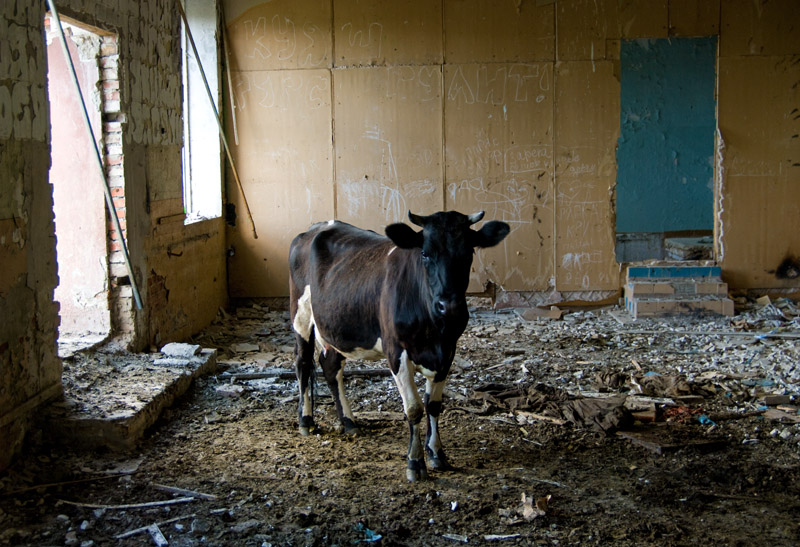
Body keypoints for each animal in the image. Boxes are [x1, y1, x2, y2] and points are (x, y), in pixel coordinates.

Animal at [290, 212, 510, 482]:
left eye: (469, 251)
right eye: (424, 253)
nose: (449, 306)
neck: (433, 331)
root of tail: (317, 226)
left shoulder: (447, 351)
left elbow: (433, 405)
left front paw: (437, 453)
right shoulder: (396, 352)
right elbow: (414, 408)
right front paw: (415, 462)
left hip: (334, 326)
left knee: (330, 367)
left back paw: (349, 422)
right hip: (300, 313)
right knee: (303, 362)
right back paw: (306, 421)